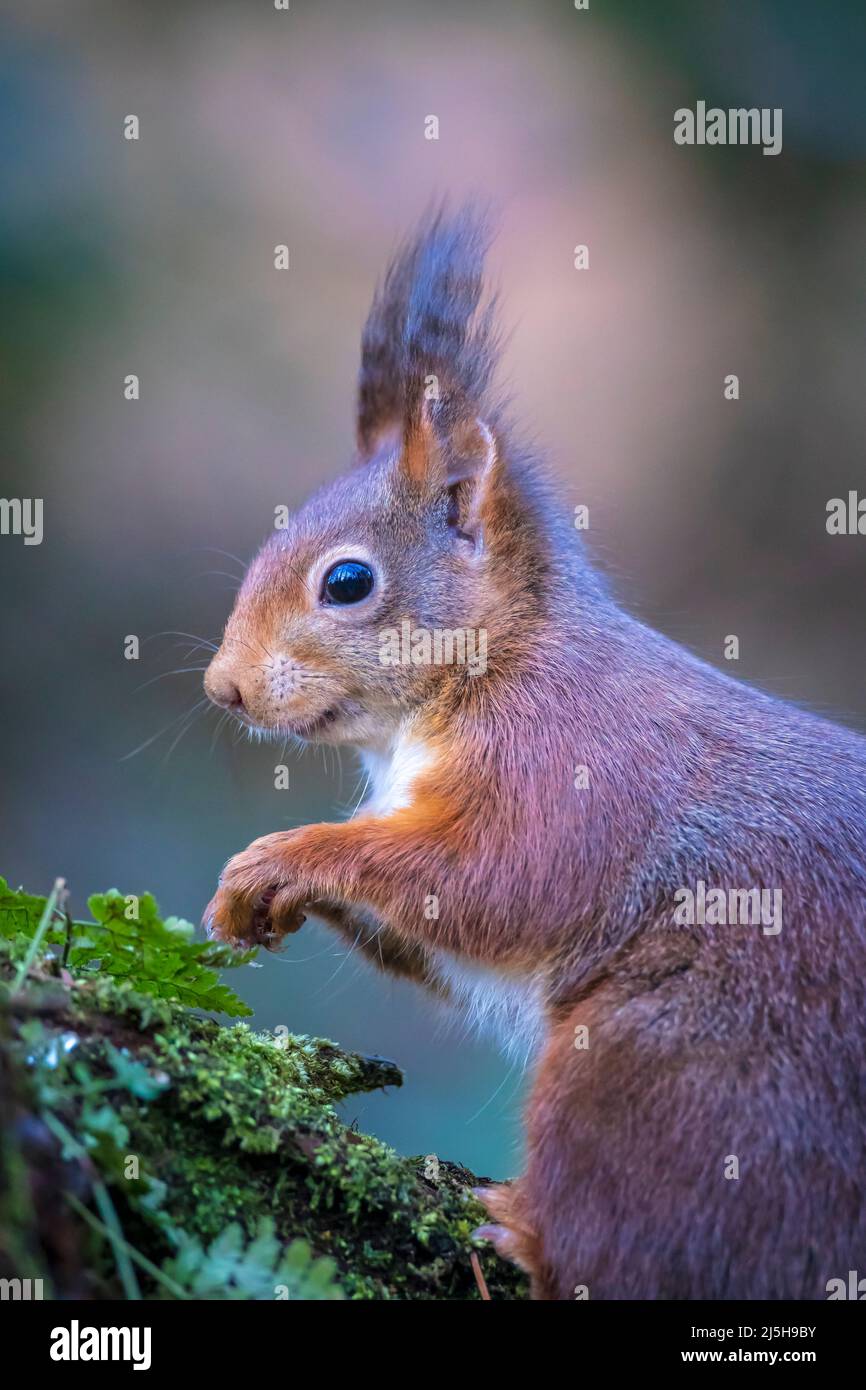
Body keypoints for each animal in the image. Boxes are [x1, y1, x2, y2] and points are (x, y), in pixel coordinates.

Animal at [203, 207, 866, 1300]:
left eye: (346, 582)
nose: (225, 687)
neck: (487, 665)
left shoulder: (567, 762)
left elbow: (499, 879)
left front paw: (283, 856)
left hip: (681, 1074)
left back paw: (522, 1231)